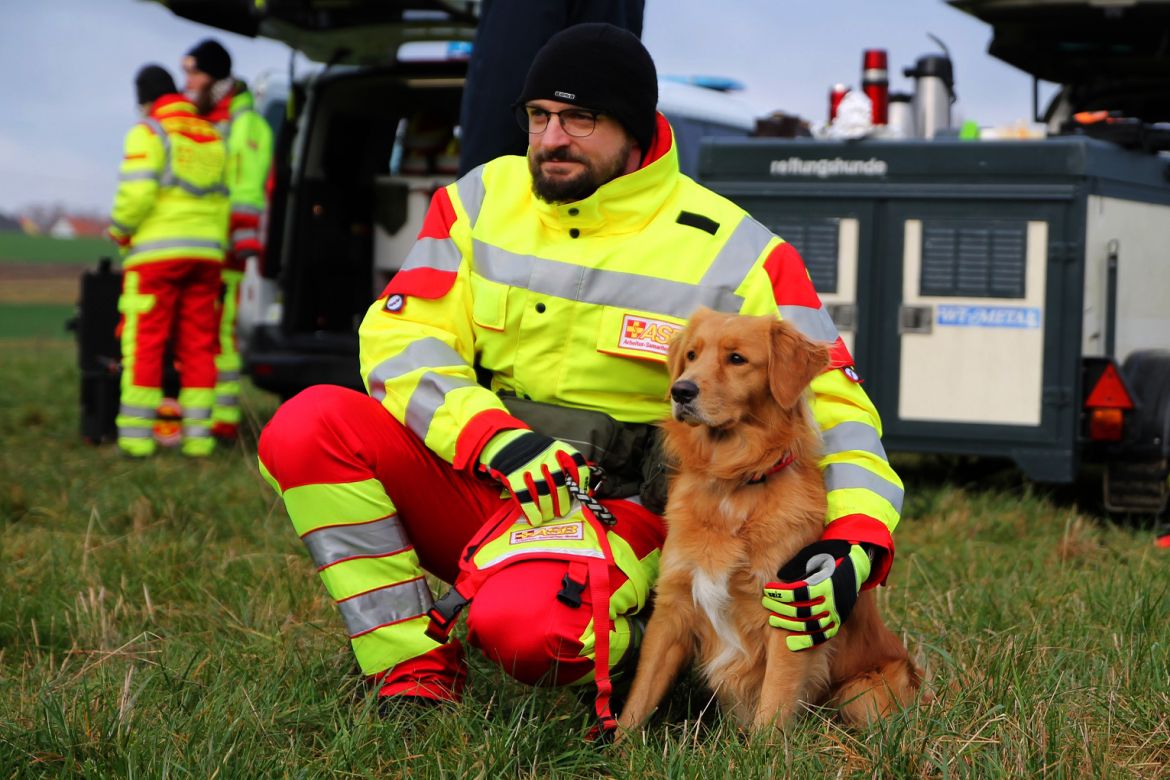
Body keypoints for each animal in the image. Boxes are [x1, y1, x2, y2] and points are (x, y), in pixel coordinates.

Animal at [617, 308, 917, 734]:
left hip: (864, 695)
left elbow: (774, 703)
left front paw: (763, 747)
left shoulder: (789, 617)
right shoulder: (673, 608)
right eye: (691, 355)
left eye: (737, 359)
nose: (681, 391)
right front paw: (617, 743)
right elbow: (640, 697)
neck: (735, 483)